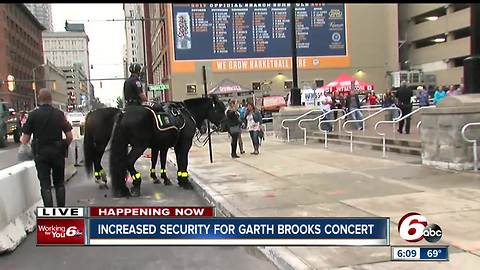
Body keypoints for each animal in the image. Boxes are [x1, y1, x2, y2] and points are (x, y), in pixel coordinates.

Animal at [83, 96, 226, 197]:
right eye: (219, 109)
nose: (224, 126)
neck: (187, 114)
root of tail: (123, 114)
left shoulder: (162, 146)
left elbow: (160, 161)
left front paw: (167, 179)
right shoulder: (184, 144)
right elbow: (182, 162)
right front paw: (184, 182)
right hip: (135, 145)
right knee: (124, 161)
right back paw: (134, 184)